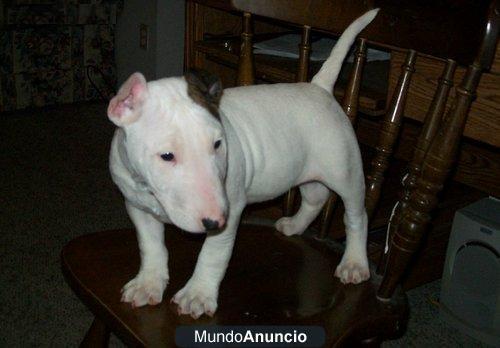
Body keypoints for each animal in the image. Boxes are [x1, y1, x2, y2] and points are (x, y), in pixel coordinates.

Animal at [107, 8, 376, 318]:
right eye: (167, 156)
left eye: (217, 144)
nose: (214, 220)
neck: (150, 191)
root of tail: (320, 88)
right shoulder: (136, 206)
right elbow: (150, 245)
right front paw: (148, 283)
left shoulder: (232, 207)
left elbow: (213, 253)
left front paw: (198, 294)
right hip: (306, 169)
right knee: (315, 197)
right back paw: (295, 225)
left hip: (345, 170)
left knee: (356, 215)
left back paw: (354, 263)